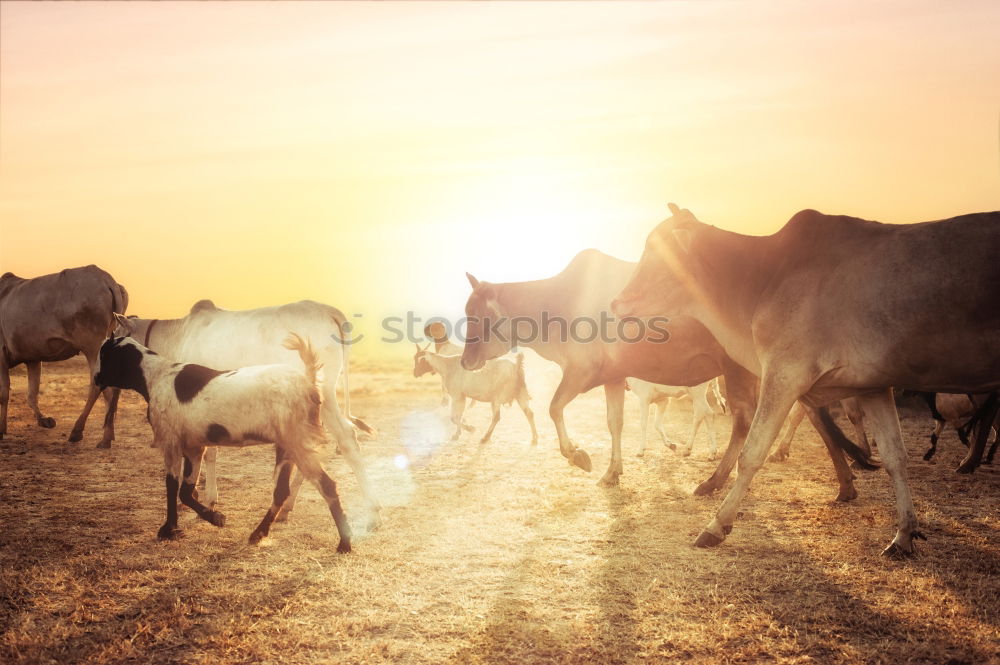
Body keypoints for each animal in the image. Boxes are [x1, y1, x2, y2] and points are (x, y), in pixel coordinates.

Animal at [94, 332, 352, 548]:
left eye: (104, 355)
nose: (96, 378)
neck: (155, 377)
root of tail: (309, 381)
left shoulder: (171, 442)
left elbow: (172, 485)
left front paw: (173, 528)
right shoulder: (194, 447)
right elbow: (186, 490)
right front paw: (208, 518)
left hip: (297, 442)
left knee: (326, 485)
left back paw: (345, 543)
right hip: (287, 446)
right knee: (281, 491)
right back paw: (259, 533)